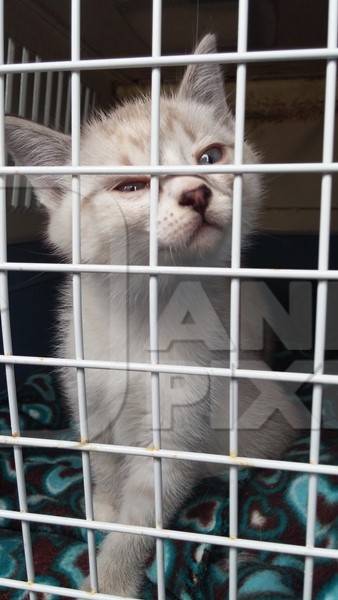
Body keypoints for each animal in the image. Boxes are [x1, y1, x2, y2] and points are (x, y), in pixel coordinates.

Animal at [5, 34, 302, 600]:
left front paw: (111, 578)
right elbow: (102, 464)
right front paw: (101, 509)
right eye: (130, 187)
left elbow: (141, 517)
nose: (197, 191)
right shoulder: (89, 397)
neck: (142, 312)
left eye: (210, 156)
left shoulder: (178, 433)